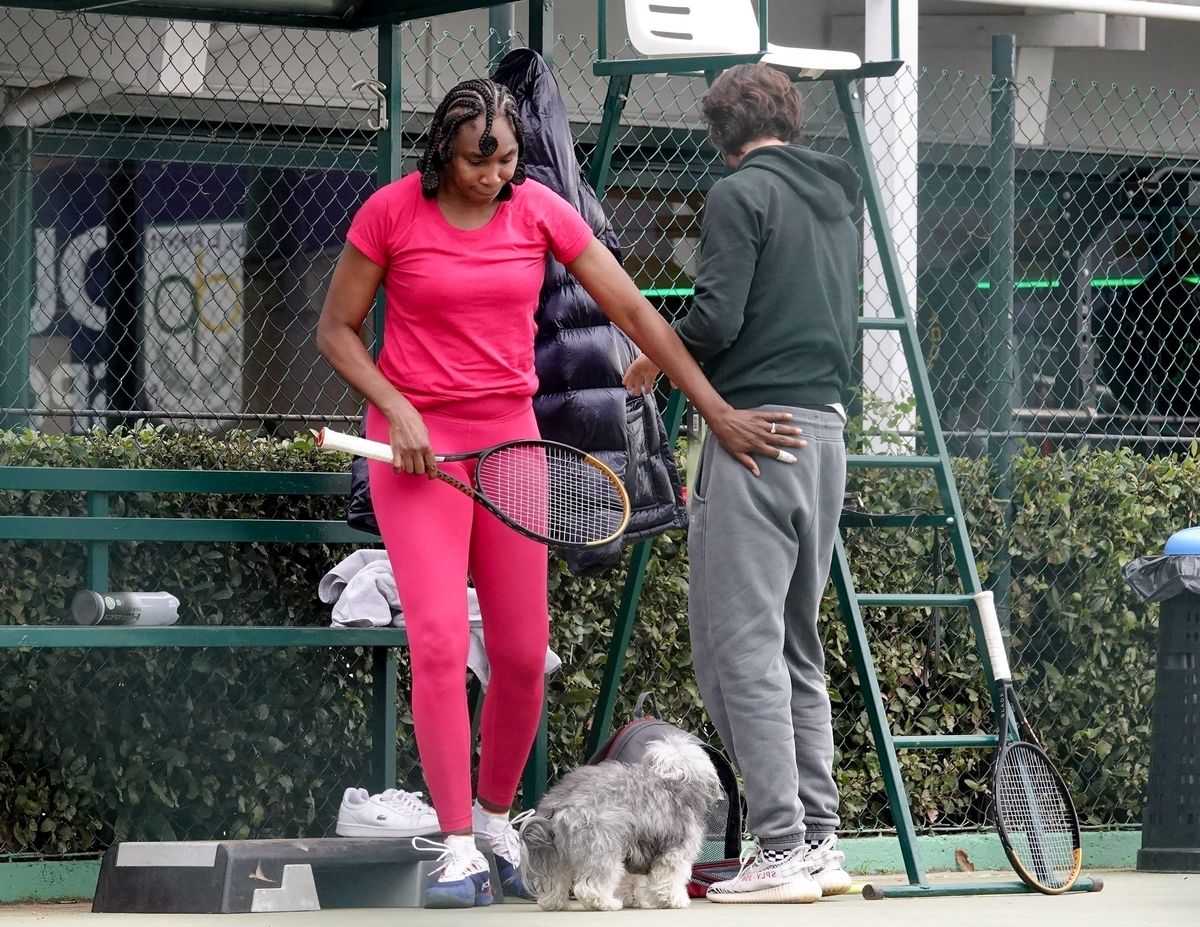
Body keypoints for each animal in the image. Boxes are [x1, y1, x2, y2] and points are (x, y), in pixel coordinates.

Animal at [518, 739, 720, 912]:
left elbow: (631, 881)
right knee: (589, 888)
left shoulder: (636, 851)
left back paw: (554, 903)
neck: (675, 780)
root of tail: (560, 805)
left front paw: (635, 899)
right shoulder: (674, 852)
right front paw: (674, 900)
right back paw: (606, 904)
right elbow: (670, 879)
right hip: (603, 848)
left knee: (553, 883)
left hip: (558, 856)